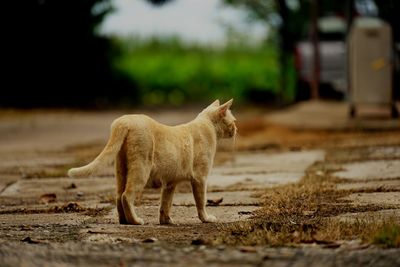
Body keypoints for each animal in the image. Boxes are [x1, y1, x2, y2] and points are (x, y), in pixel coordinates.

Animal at [67, 100, 236, 226]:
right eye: (234, 121)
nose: (236, 129)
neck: (208, 124)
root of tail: (125, 120)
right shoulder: (200, 178)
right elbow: (201, 201)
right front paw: (206, 219)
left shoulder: (170, 183)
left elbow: (165, 203)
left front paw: (166, 221)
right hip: (141, 169)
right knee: (126, 195)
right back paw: (135, 221)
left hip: (121, 170)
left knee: (118, 195)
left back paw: (124, 221)